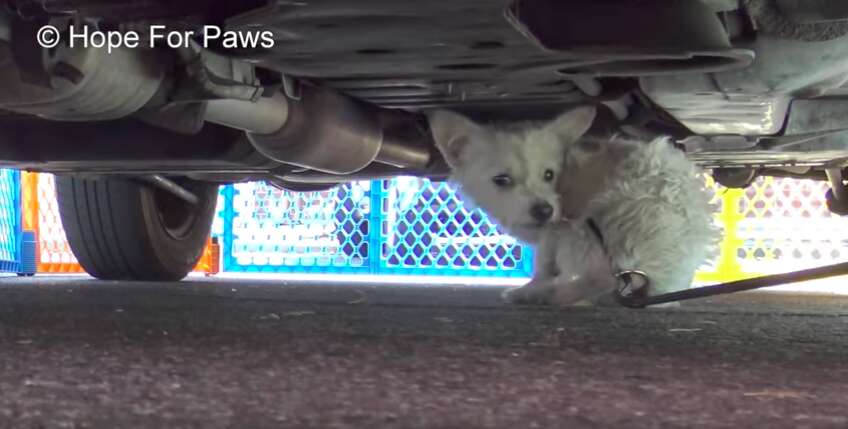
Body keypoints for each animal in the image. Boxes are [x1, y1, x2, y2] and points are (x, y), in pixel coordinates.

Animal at [430, 105, 716, 306]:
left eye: (549, 175)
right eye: (501, 180)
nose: (544, 210)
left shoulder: (555, 230)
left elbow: (543, 263)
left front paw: (533, 286)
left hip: (584, 229)